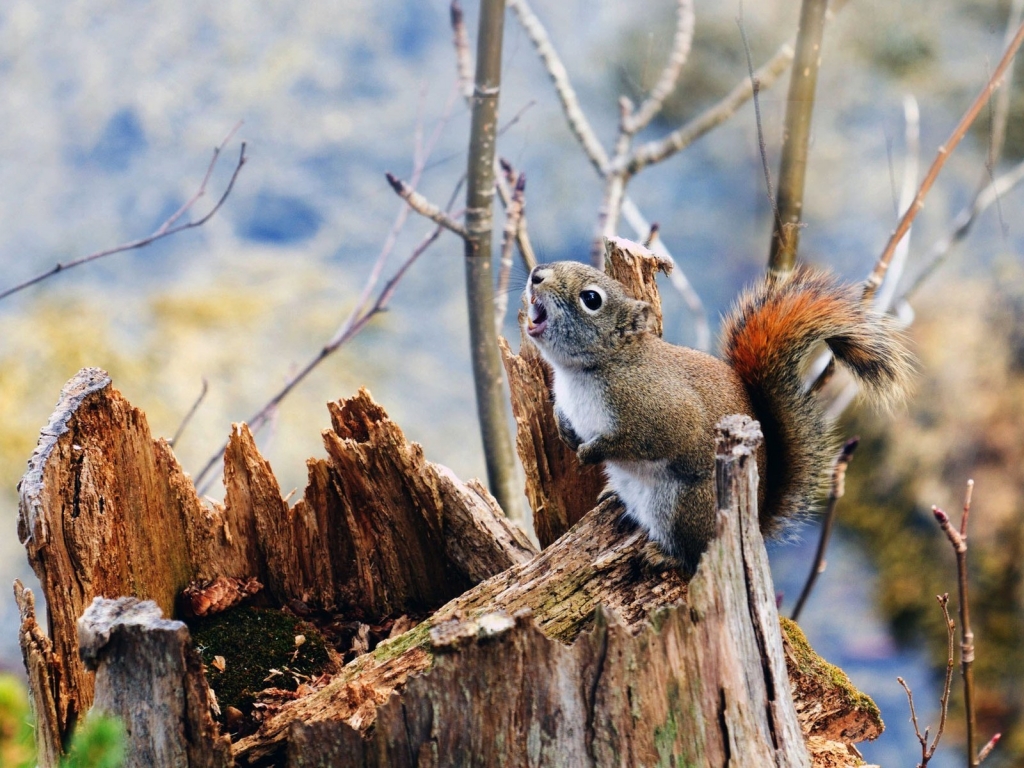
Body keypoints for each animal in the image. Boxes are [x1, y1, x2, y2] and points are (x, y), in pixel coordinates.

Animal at [524, 262, 917, 573]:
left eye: (591, 299)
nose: (536, 274)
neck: (585, 371)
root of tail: (755, 520)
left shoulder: (660, 410)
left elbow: (643, 440)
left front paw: (592, 451)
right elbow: (564, 417)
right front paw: (565, 430)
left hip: (687, 507)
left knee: (694, 555)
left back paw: (664, 556)